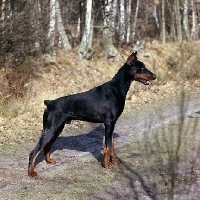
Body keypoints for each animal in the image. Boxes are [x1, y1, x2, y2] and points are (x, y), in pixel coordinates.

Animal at [28, 51, 156, 178]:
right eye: (141, 68)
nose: (155, 76)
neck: (117, 88)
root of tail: (49, 103)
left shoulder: (112, 124)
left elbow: (112, 145)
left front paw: (113, 161)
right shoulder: (109, 123)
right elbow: (108, 147)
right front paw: (107, 164)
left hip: (57, 129)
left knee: (47, 147)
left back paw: (49, 161)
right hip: (50, 129)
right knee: (33, 152)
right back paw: (31, 172)